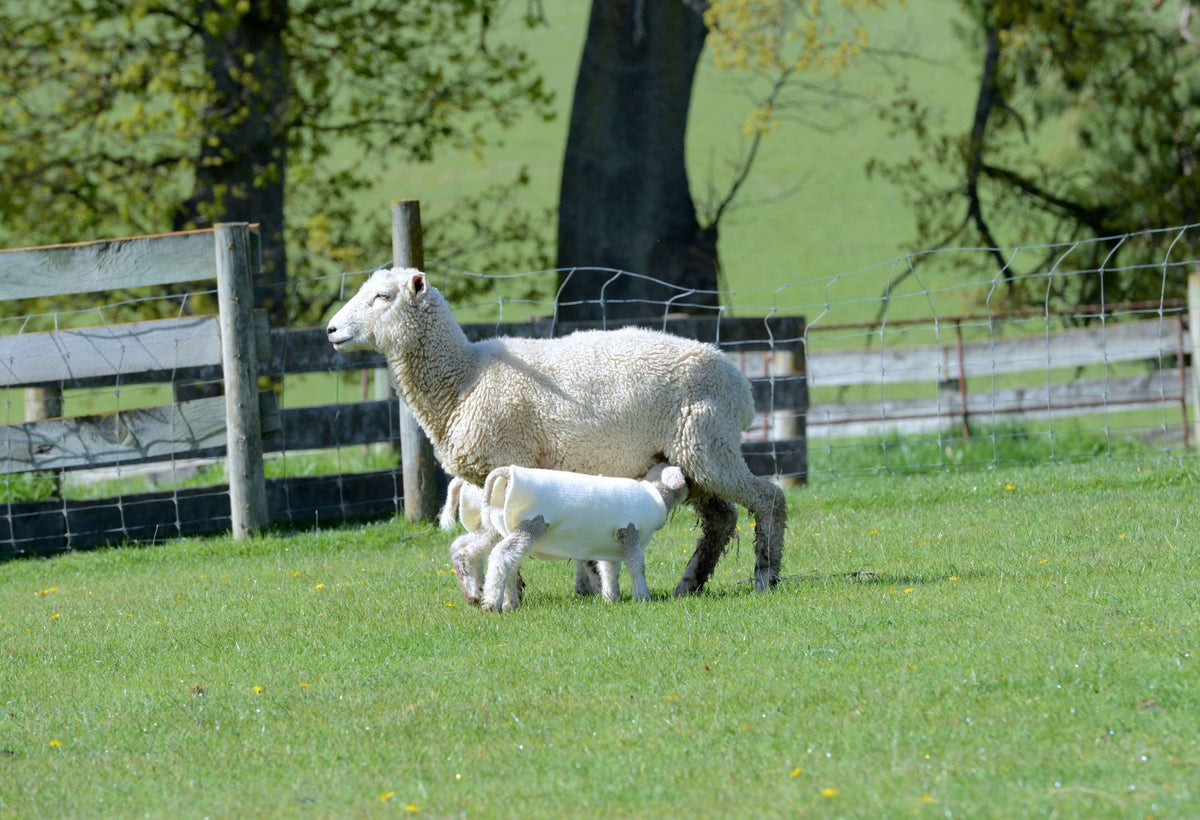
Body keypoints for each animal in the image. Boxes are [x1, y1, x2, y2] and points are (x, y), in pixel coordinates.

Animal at [326, 267, 786, 595]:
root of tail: (739, 382)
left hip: (708, 443)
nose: (330, 330)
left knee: (768, 499)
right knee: (721, 519)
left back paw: (765, 575)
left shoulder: (510, 461)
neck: (463, 379)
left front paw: (507, 593)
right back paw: (688, 583)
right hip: (688, 456)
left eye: (382, 296)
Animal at [479, 462, 690, 612]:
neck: (655, 498)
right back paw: (491, 603)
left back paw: (509, 603)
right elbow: (637, 565)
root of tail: (508, 472)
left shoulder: (610, 543)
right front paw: (643, 596)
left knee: (512, 561)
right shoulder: (631, 534)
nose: (690, 491)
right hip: (531, 524)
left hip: (509, 526)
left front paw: (611, 598)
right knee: (502, 554)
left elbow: (609, 570)